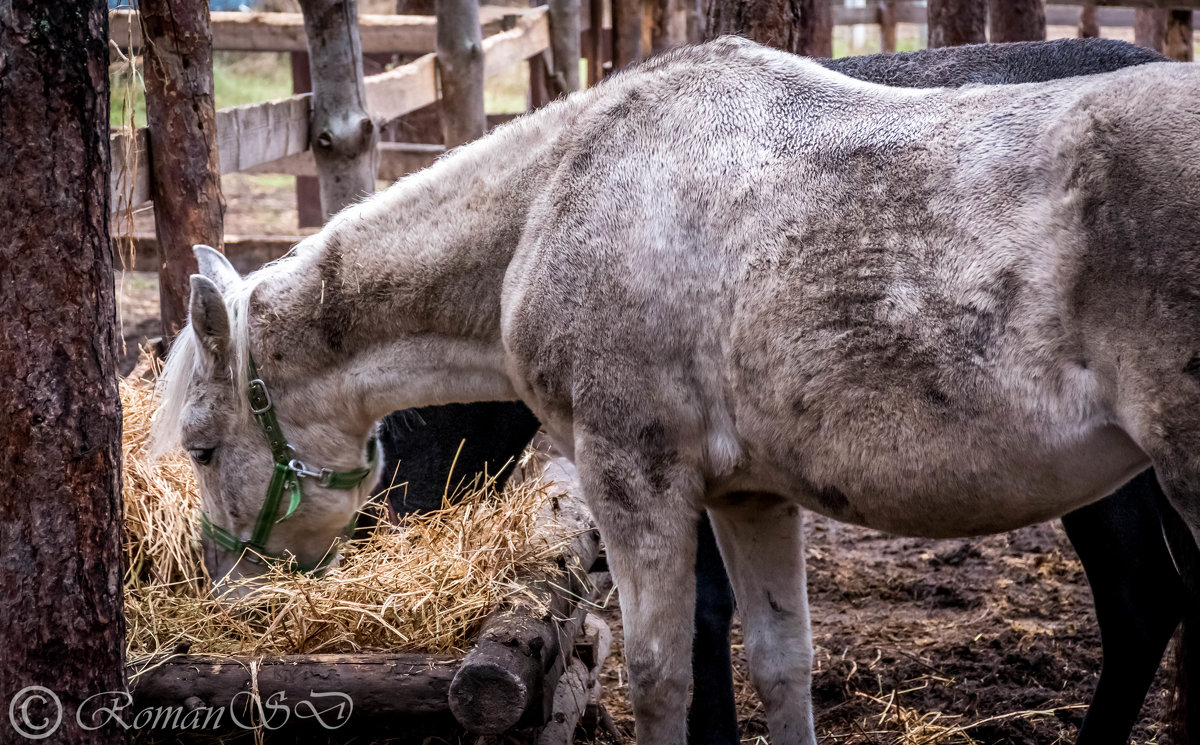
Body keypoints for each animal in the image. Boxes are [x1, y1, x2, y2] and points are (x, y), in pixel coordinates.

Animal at [154, 40, 1200, 743]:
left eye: (201, 447)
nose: (229, 602)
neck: (555, 200)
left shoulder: (636, 479)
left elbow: (662, 672)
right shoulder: (752, 497)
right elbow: (781, 663)